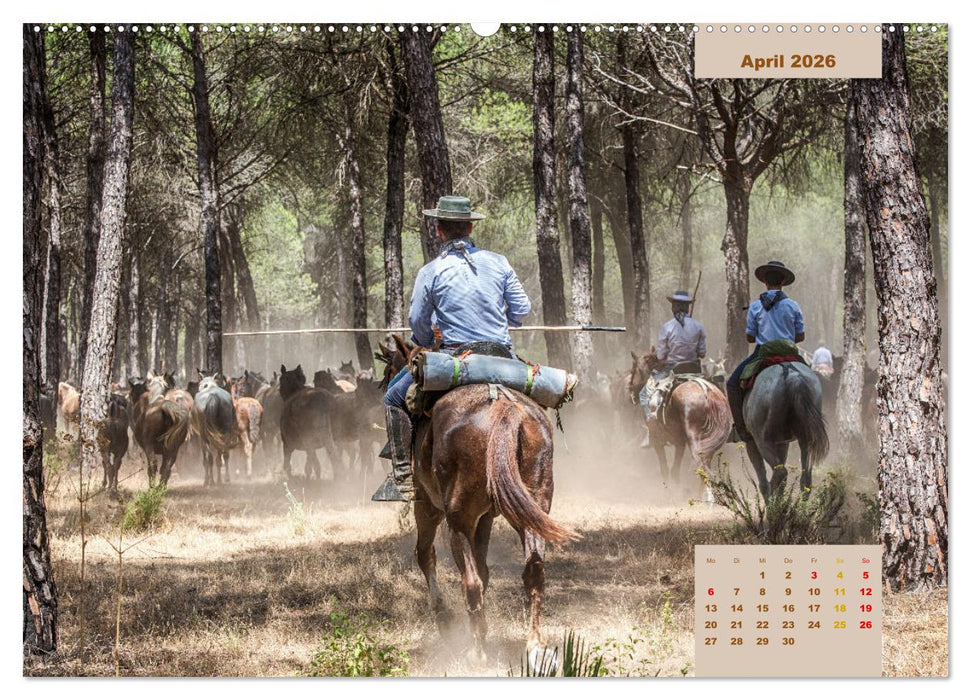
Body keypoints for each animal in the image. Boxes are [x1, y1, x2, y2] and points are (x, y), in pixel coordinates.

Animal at [383, 334, 576, 662]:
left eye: (389, 372)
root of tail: (503, 406)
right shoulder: (484, 517)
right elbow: (484, 569)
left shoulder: (428, 506)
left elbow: (426, 555)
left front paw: (445, 618)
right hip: (531, 511)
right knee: (533, 572)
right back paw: (534, 646)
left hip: (457, 519)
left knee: (469, 581)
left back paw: (476, 652)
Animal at [628, 349, 732, 489]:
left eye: (634, 369)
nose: (630, 389)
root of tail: (708, 393)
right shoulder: (680, 443)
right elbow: (675, 471)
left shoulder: (658, 441)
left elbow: (665, 470)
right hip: (710, 445)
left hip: (695, 442)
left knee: (701, 468)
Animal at [741, 361, 829, 497]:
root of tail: (793, 376)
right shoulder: (783, 443)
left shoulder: (752, 442)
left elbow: (762, 476)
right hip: (805, 440)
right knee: (805, 480)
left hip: (763, 441)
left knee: (780, 473)